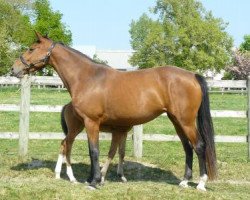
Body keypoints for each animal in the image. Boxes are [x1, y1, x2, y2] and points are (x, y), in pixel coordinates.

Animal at [11, 32, 216, 191]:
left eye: (31, 48)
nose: (14, 68)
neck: (87, 77)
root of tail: (192, 76)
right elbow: (96, 151)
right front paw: (92, 179)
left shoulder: (91, 122)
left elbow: (94, 151)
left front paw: (94, 182)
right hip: (176, 121)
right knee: (187, 147)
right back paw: (184, 181)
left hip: (186, 121)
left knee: (199, 146)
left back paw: (201, 183)